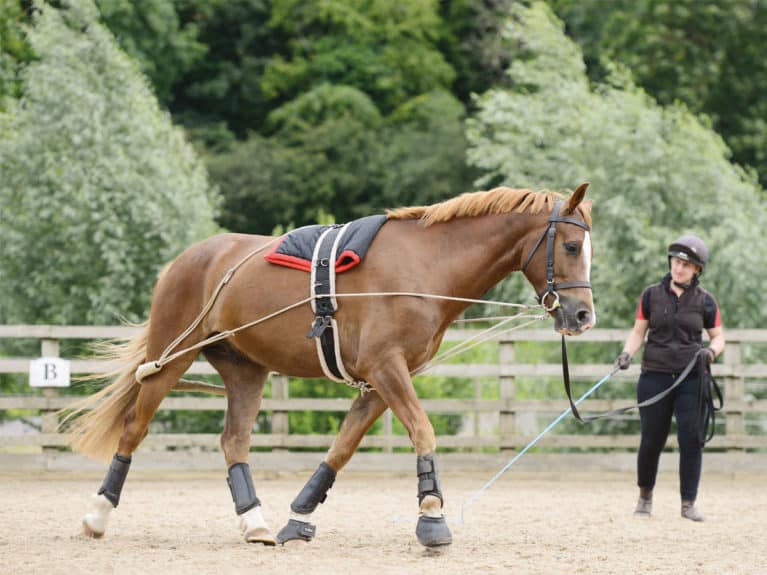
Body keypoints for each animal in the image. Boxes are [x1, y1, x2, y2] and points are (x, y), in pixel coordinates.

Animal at [63, 183, 596, 548]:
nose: (582, 316)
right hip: (170, 358)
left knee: (234, 441)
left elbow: (341, 449)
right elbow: (422, 432)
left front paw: (299, 517)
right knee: (134, 428)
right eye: (571, 247)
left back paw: (254, 521)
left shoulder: (380, 382)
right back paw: (97, 515)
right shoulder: (386, 370)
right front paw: (431, 516)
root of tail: (188, 259)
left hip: (245, 370)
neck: (425, 268)